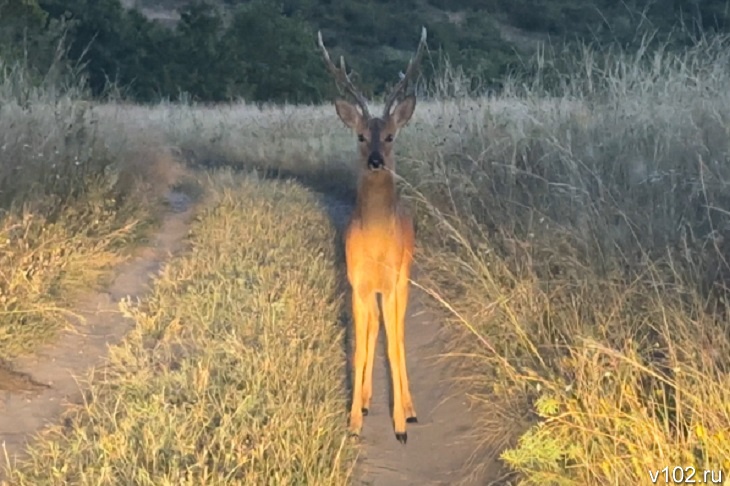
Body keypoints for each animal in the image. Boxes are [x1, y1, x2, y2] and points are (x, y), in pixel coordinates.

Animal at [314, 26, 426, 444]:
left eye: (391, 136)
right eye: (361, 136)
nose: (376, 160)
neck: (377, 245)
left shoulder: (393, 281)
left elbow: (393, 346)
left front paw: (400, 425)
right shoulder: (356, 282)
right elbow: (361, 347)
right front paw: (353, 422)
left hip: (406, 277)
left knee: (396, 333)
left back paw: (409, 409)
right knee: (375, 327)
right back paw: (364, 400)